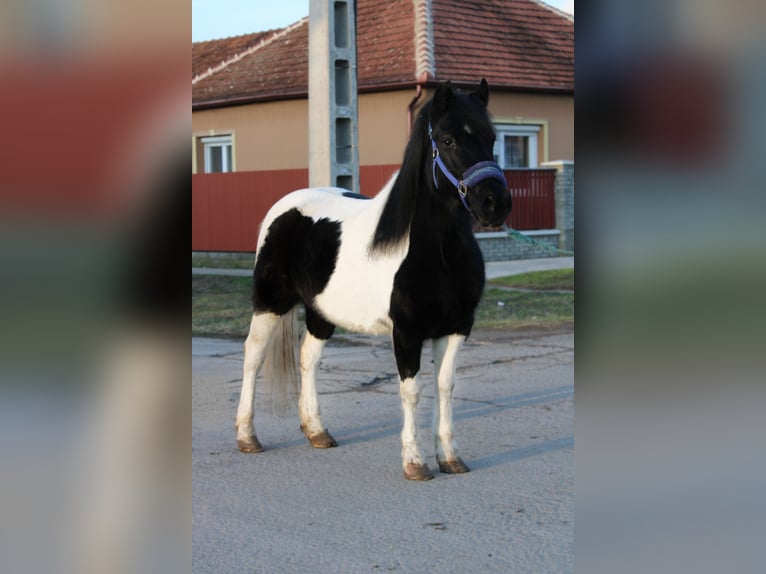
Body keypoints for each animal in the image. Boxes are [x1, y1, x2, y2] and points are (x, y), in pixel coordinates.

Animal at [235, 79, 512, 480]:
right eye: (447, 141)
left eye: (491, 138)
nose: (495, 203)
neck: (437, 254)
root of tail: (285, 206)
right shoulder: (406, 333)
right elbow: (412, 391)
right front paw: (415, 463)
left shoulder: (457, 327)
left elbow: (445, 387)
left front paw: (450, 457)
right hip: (270, 302)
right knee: (253, 357)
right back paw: (247, 436)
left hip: (321, 313)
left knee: (308, 360)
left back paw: (317, 432)